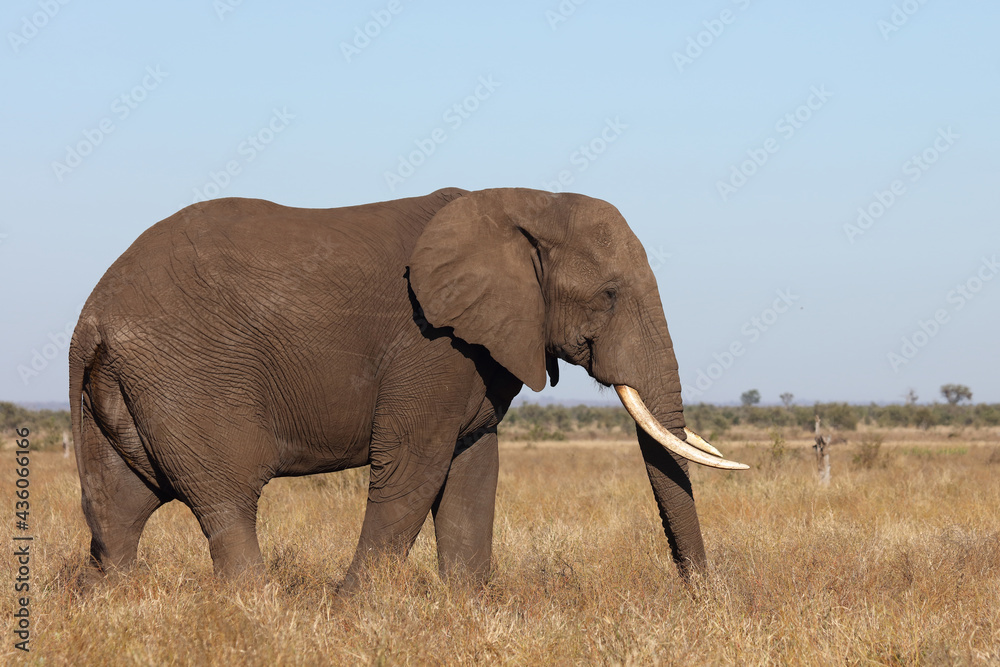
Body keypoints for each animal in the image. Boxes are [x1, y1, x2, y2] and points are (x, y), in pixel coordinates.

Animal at [69, 187, 747, 589]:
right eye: (608, 295)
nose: (699, 596)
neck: (523, 201)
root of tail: (93, 314)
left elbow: (474, 469)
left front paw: (469, 607)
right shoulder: (431, 343)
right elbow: (414, 465)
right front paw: (350, 608)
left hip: (120, 386)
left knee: (118, 506)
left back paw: (114, 604)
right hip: (188, 375)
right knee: (226, 499)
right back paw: (261, 609)